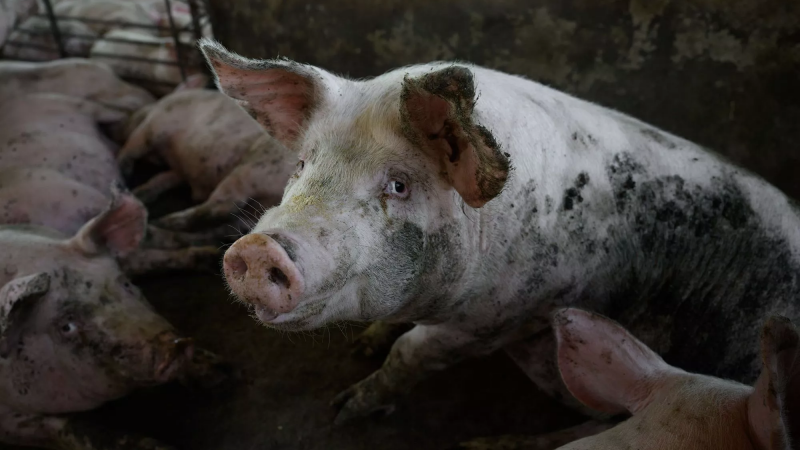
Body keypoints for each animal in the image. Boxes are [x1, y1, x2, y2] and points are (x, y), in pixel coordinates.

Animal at [0, 190, 223, 449]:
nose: (172, 345)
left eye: (125, 284)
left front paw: (220, 374)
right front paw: (156, 446)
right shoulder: (10, 420)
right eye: (67, 326)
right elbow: (77, 428)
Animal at [116, 87, 295, 232]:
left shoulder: (153, 127)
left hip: (252, 169)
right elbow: (162, 179)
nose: (120, 127)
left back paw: (160, 222)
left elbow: (132, 149)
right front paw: (140, 191)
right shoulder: (180, 170)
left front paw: (124, 170)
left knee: (220, 208)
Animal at [198, 38, 800, 427]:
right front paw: (363, 347)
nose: (257, 249)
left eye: (398, 185)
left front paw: (343, 411)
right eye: (302, 164)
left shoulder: (500, 320)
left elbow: (409, 355)